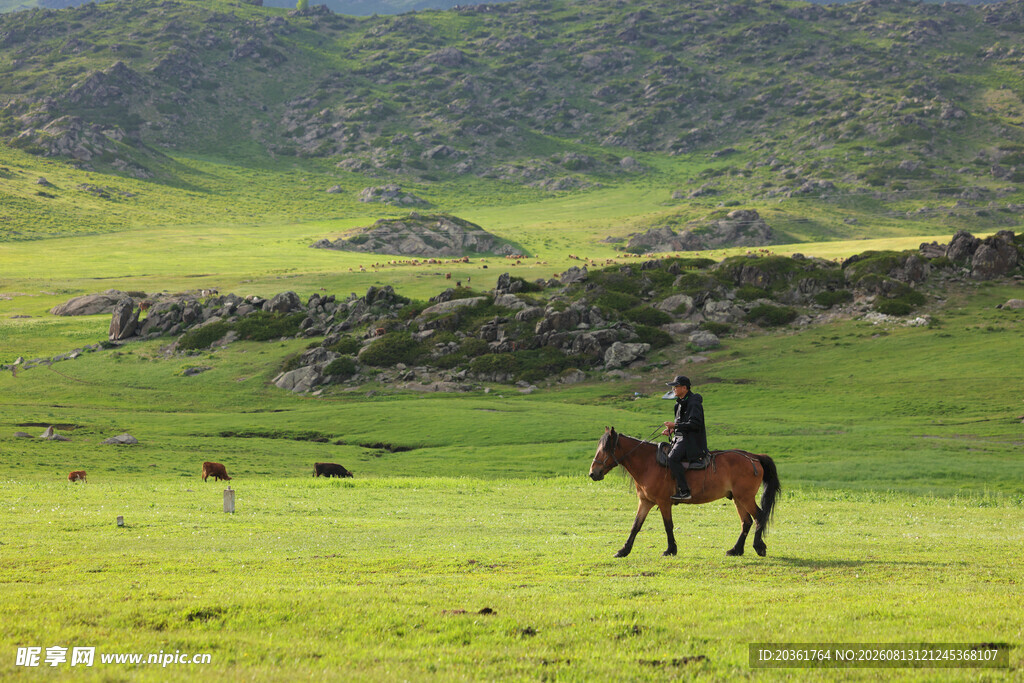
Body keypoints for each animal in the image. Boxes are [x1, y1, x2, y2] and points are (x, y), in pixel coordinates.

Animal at [589, 427, 780, 558]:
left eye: (605, 448)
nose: (593, 473)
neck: (648, 463)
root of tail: (754, 457)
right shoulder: (645, 501)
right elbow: (636, 525)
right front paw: (623, 550)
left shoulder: (663, 502)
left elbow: (668, 525)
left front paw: (670, 549)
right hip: (738, 499)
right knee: (746, 522)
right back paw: (736, 550)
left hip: (745, 497)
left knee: (759, 516)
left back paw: (759, 546)